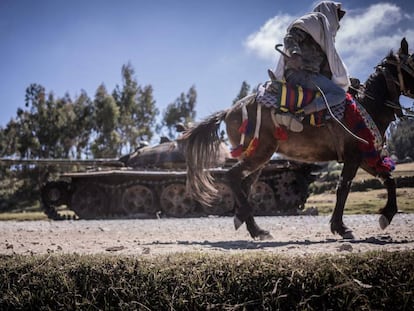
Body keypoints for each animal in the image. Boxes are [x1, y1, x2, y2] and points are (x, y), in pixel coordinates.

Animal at [180, 37, 414, 240]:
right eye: (413, 63)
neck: (368, 105)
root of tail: (230, 110)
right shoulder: (354, 156)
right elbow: (343, 188)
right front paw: (341, 227)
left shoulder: (365, 157)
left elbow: (389, 179)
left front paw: (386, 215)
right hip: (260, 153)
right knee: (233, 177)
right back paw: (254, 227)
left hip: (257, 155)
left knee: (245, 183)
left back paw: (247, 222)